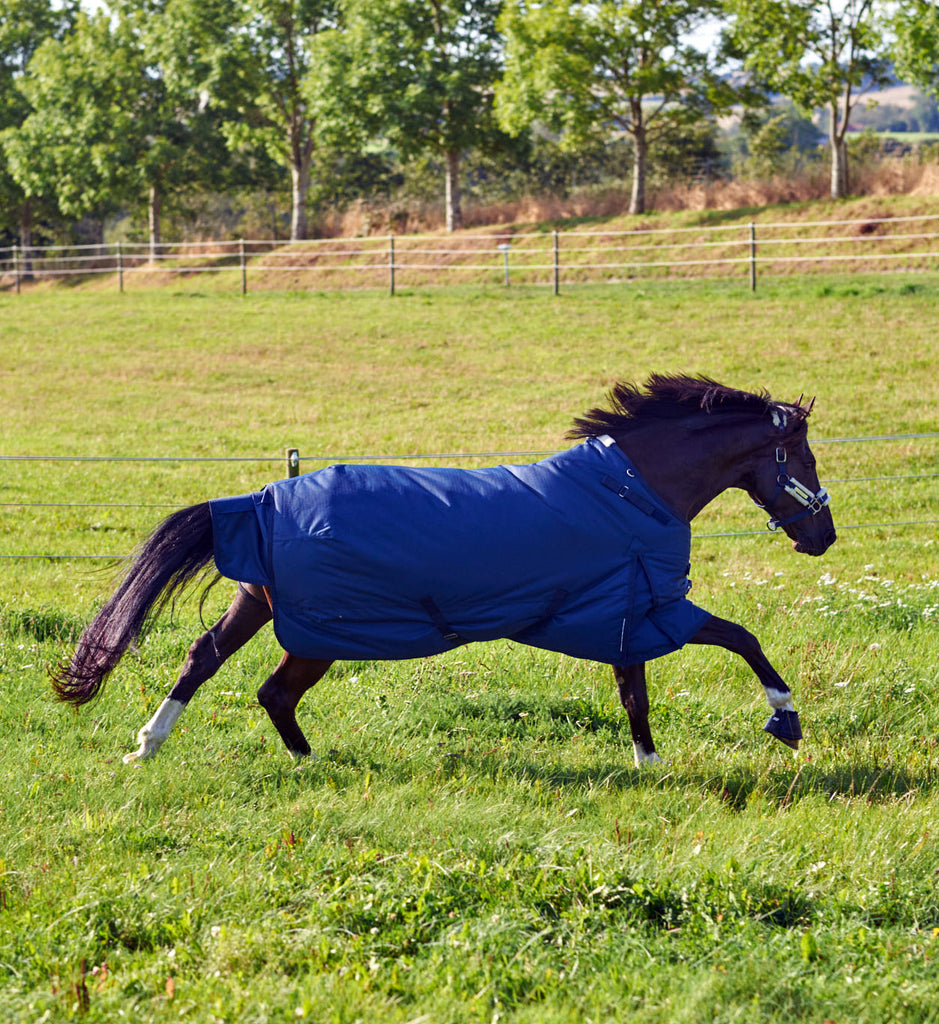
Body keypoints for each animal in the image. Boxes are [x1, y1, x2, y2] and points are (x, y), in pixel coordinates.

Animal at [53, 372, 835, 765]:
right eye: (800, 458)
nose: (822, 538)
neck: (631, 490)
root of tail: (260, 501)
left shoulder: (625, 612)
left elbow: (635, 693)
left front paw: (647, 766)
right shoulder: (653, 608)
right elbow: (742, 640)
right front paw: (785, 720)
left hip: (266, 608)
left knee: (212, 661)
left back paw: (161, 747)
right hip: (317, 630)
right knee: (266, 687)